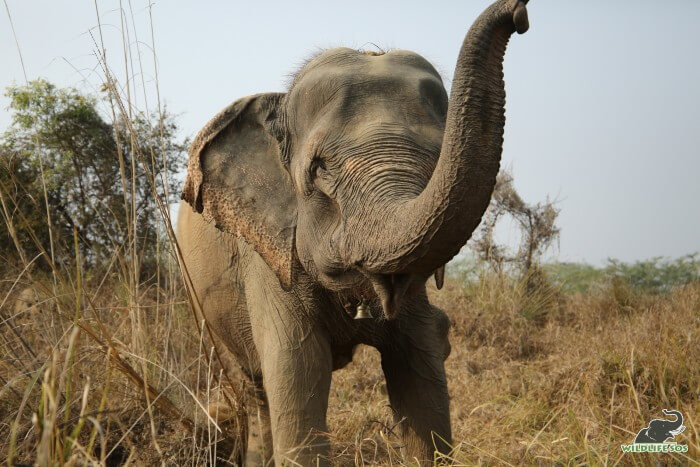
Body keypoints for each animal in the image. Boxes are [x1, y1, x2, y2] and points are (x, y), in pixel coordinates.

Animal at [178, 0, 532, 464]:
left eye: (438, 158)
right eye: (320, 169)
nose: (519, 14)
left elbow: (419, 369)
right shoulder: (269, 256)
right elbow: (297, 369)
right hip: (203, 306)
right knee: (255, 391)